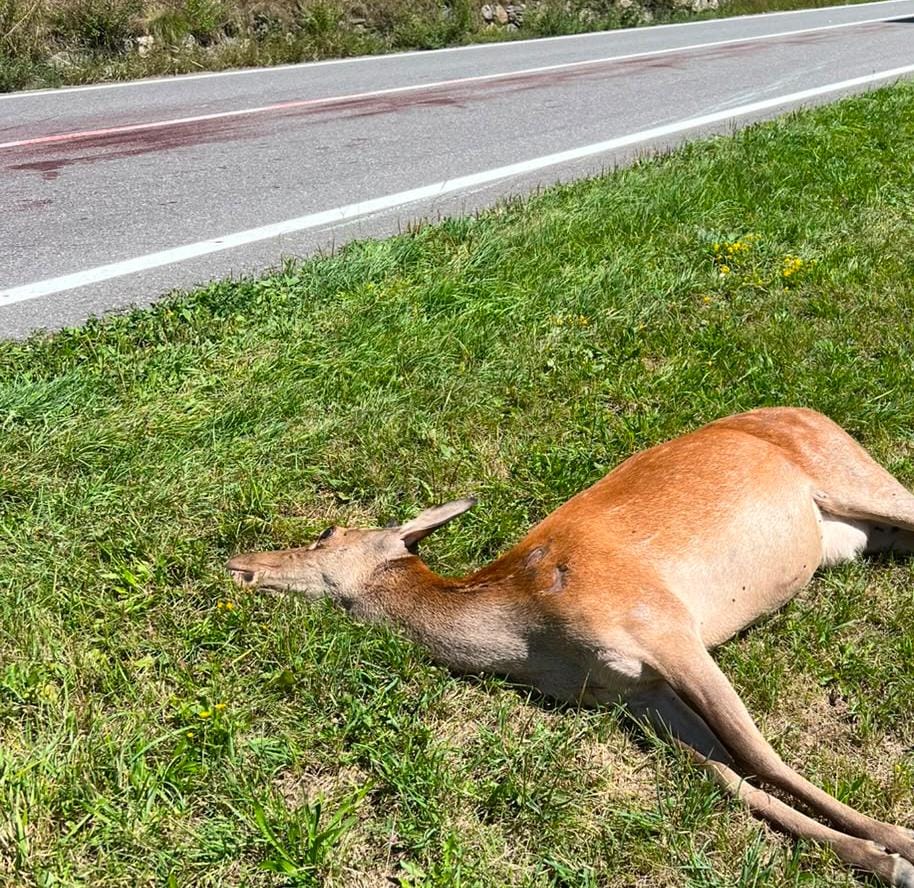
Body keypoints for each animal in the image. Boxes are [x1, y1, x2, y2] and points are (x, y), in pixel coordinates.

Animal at [227, 406, 914, 885]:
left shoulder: (664, 624)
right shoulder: (634, 696)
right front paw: (876, 856)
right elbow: (725, 775)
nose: (239, 564)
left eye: (325, 532)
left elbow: (759, 757)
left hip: (858, 475)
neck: (534, 642)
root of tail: (813, 411)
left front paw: (898, 845)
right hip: (859, 536)